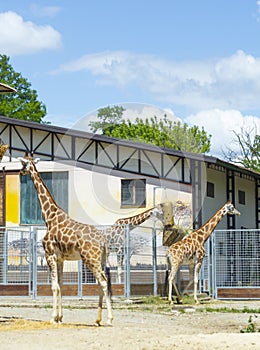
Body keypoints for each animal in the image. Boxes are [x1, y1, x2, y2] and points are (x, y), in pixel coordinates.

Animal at [17, 155, 112, 326]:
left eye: (23, 163)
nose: (19, 172)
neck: (49, 217)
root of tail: (103, 241)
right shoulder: (60, 258)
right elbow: (61, 285)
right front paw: (60, 318)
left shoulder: (49, 255)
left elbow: (54, 286)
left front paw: (52, 317)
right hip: (100, 260)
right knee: (102, 282)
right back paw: (97, 319)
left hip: (90, 259)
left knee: (103, 281)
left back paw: (109, 318)